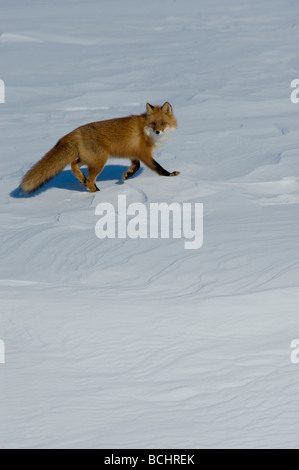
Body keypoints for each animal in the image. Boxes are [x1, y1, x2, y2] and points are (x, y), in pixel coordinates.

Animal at [21, 101, 180, 193]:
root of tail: (75, 131)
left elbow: (135, 167)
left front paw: (127, 175)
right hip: (99, 161)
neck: (145, 131)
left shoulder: (134, 154)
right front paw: (170, 175)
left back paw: (82, 179)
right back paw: (97, 194)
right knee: (90, 180)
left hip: (89, 159)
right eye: (154, 124)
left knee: (73, 164)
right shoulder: (144, 154)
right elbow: (158, 168)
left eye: (163, 123)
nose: (158, 132)